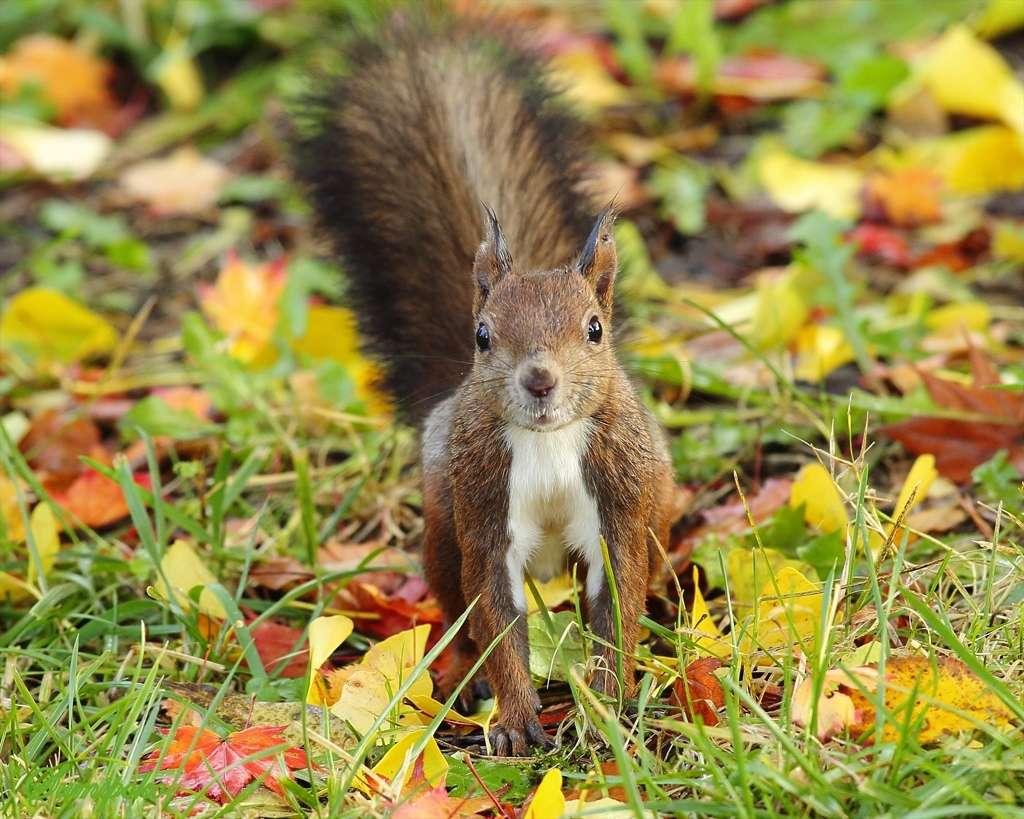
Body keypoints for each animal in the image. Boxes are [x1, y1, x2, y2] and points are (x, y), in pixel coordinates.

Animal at [290, 15, 671, 757]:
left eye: (594, 329)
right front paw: (518, 719)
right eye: (483, 335)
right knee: (457, 605)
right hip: (441, 527)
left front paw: (605, 707)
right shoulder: (484, 505)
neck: (547, 443)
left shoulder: (617, 497)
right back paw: (461, 678)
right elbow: (494, 612)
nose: (540, 379)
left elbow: (617, 602)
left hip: (657, 508)